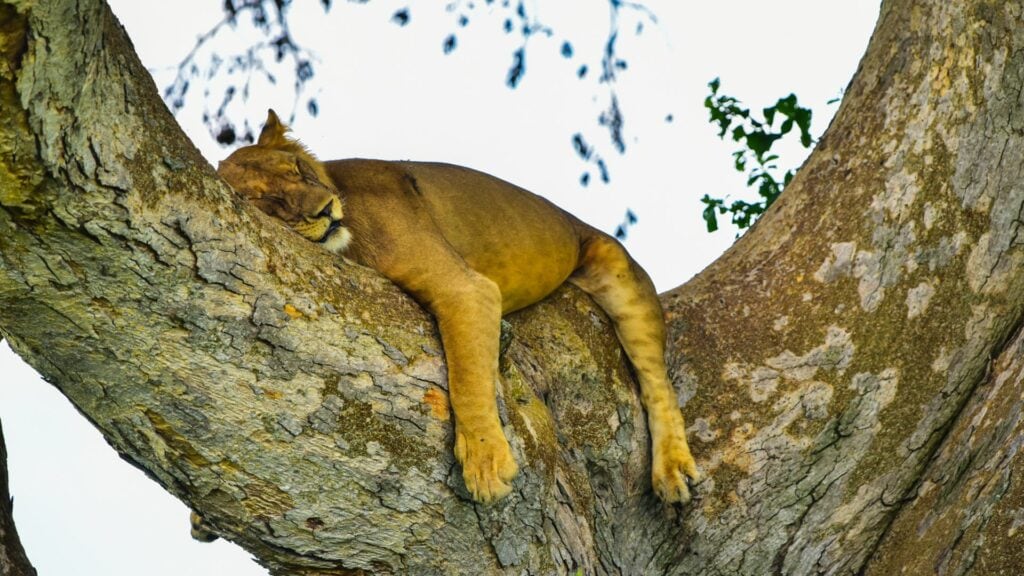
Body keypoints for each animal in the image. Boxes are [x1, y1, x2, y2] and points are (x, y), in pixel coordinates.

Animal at [216, 109, 699, 504]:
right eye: (268, 201)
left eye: (298, 169)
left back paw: (672, 472)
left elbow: (468, 377)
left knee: (658, 384)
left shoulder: (465, 287)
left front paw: (486, 464)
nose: (326, 209)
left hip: (619, 272)